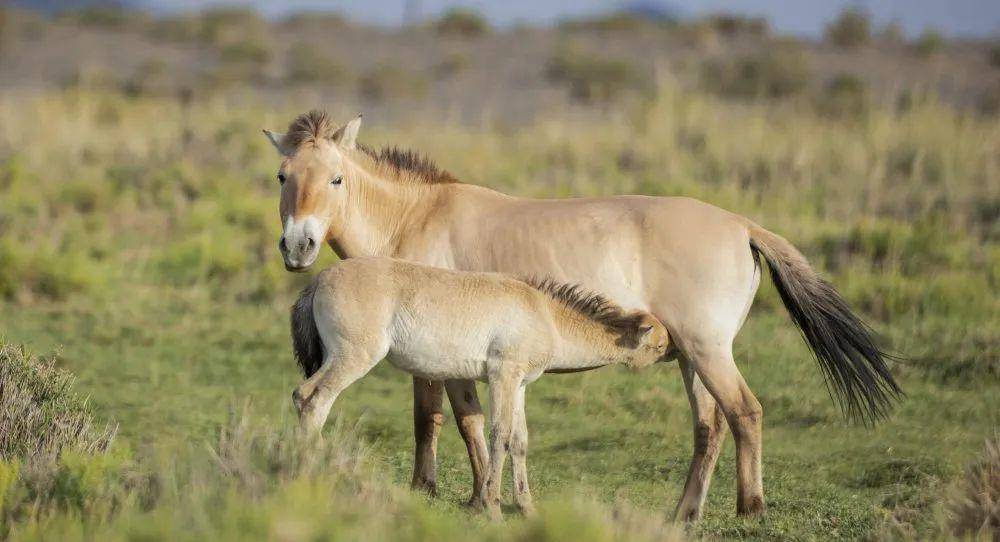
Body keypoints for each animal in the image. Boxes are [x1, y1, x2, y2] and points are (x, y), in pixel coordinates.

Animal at [286, 258, 668, 520]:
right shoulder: (502, 376)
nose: (676, 353)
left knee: (303, 398)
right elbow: (500, 435)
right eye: (661, 345)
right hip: (352, 359)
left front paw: (526, 507)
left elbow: (520, 440)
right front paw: (493, 507)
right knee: (312, 400)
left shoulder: (519, 385)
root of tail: (318, 280)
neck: (545, 314)